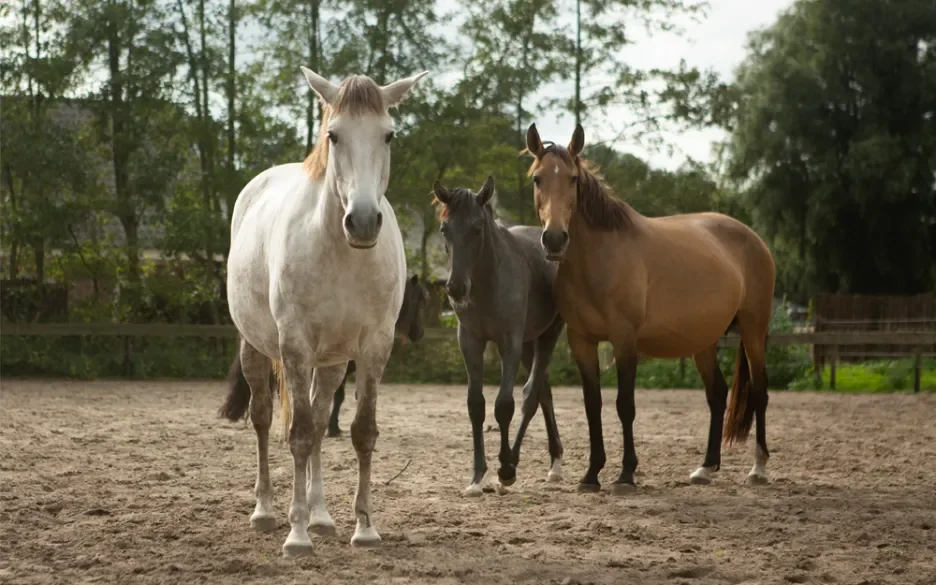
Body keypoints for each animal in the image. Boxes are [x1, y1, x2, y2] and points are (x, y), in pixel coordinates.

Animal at [432, 176, 564, 496]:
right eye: (444, 229)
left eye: (477, 228)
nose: (455, 288)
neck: (487, 281)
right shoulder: (470, 342)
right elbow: (475, 405)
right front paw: (476, 478)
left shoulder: (509, 344)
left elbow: (504, 405)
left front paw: (504, 470)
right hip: (529, 344)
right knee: (544, 392)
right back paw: (553, 463)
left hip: (546, 337)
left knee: (531, 395)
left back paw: (519, 463)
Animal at [528, 122, 776, 492]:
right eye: (537, 178)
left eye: (572, 178)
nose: (555, 239)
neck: (599, 259)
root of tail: (754, 238)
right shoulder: (581, 341)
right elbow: (592, 406)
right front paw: (591, 475)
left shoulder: (624, 340)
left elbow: (624, 406)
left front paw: (626, 474)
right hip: (703, 341)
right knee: (717, 394)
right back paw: (706, 468)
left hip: (753, 330)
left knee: (759, 392)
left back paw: (758, 468)